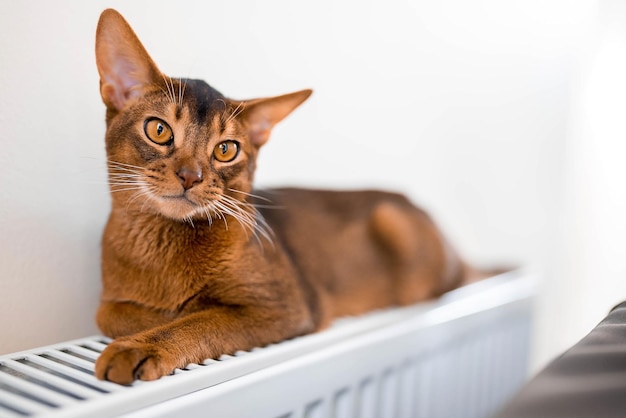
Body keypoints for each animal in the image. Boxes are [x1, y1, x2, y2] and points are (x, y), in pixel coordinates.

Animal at [94, 7, 482, 386]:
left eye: (225, 150)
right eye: (159, 130)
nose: (191, 176)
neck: (160, 252)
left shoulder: (287, 307)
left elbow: (197, 322)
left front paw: (140, 345)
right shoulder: (112, 300)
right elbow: (108, 312)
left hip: (391, 221)